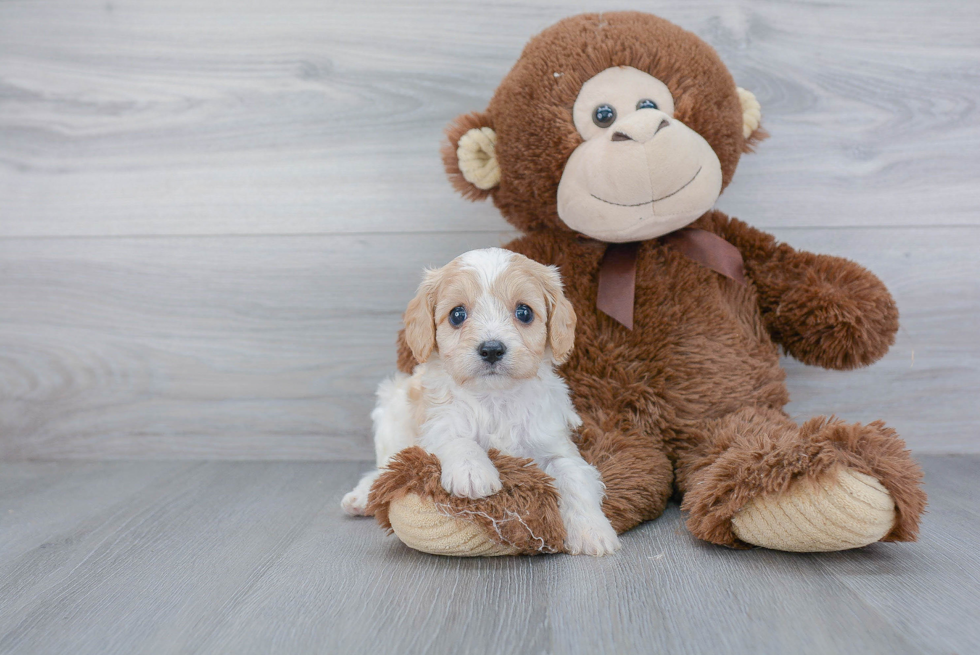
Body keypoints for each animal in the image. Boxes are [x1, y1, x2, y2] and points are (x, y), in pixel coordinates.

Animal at [344, 249, 620, 556]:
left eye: (524, 312)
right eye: (457, 314)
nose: (491, 349)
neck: (494, 398)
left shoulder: (555, 441)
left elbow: (573, 475)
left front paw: (591, 531)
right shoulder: (439, 424)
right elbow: (456, 439)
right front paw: (471, 471)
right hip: (391, 415)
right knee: (384, 466)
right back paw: (361, 496)